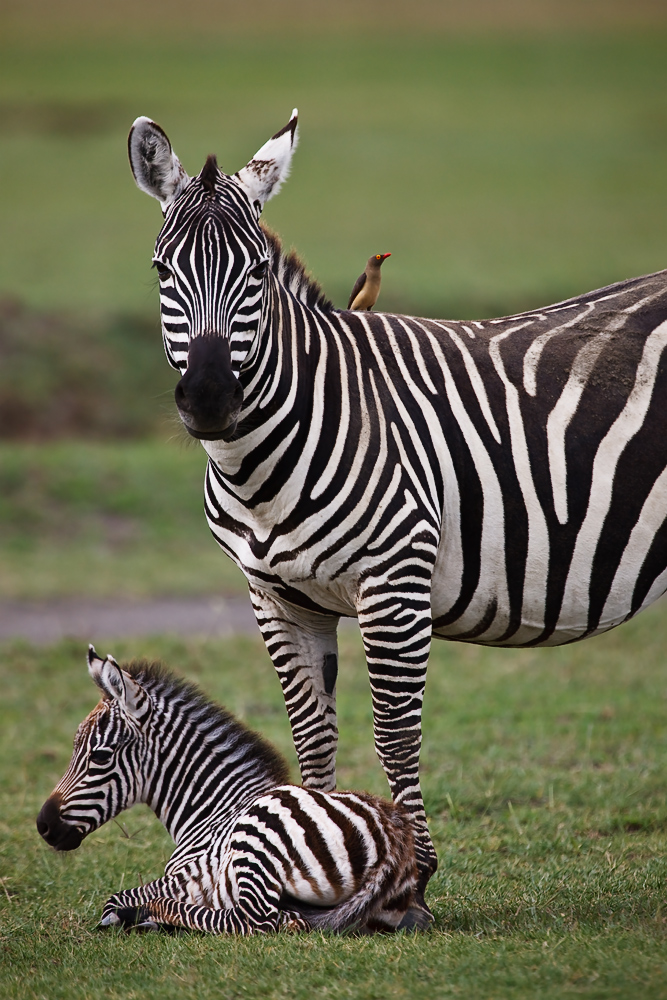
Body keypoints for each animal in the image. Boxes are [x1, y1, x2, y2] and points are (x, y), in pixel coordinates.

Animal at [35, 648, 428, 936]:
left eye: (100, 756)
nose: (43, 825)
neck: (212, 807)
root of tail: (392, 845)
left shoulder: (187, 875)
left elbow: (116, 898)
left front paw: (136, 913)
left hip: (256, 840)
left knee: (255, 921)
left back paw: (157, 913)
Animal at [128, 109, 667, 908]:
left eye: (255, 276)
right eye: (163, 272)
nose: (209, 398)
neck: (262, 465)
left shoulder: (396, 583)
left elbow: (394, 733)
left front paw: (411, 878)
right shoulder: (275, 597)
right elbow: (313, 732)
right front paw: (305, 858)